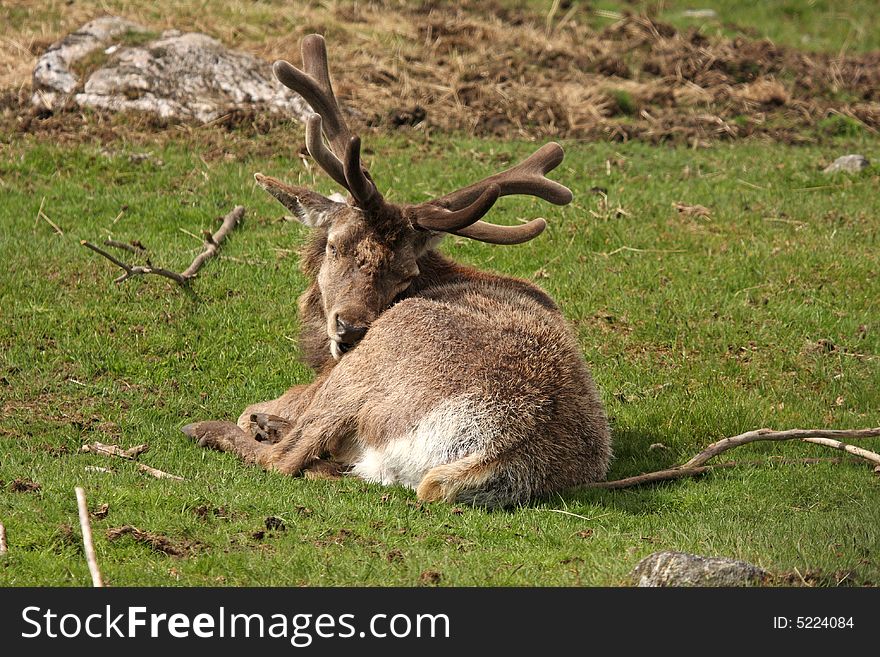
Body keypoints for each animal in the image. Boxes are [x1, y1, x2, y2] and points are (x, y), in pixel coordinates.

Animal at [184, 34, 612, 508]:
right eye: (336, 246)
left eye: (406, 274)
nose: (350, 329)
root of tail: (492, 450)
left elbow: (258, 415)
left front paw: (256, 420)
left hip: (369, 365)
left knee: (286, 457)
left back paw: (216, 428)